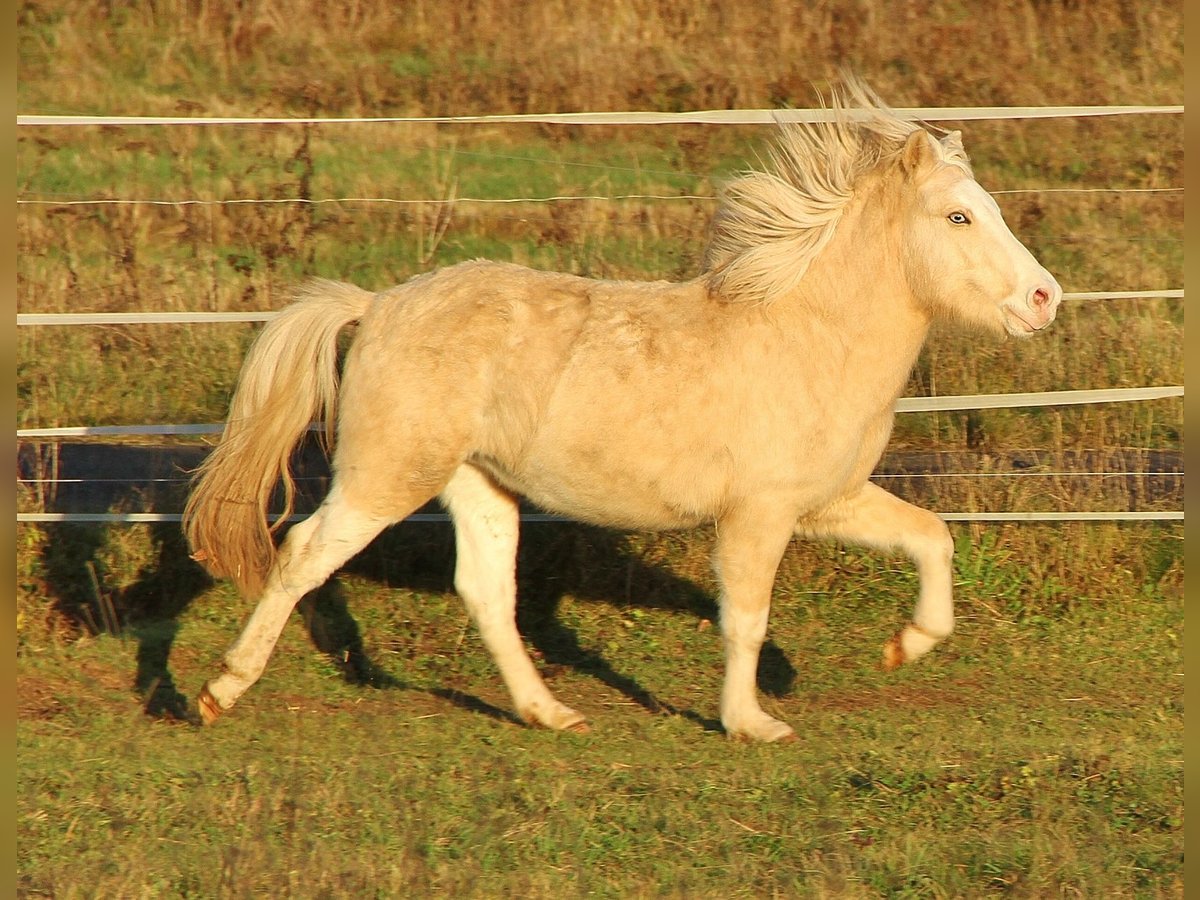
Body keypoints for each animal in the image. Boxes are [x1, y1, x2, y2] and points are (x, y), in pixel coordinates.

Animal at [180, 81, 1060, 744]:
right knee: (302, 553)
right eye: (958, 216)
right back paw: (219, 691)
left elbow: (932, 538)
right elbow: (744, 616)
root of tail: (375, 306)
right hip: (388, 476)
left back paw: (550, 712)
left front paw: (905, 647)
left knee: (486, 592)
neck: (806, 335)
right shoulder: (759, 515)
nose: (1044, 298)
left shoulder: (826, 502)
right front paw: (751, 722)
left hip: (479, 483)